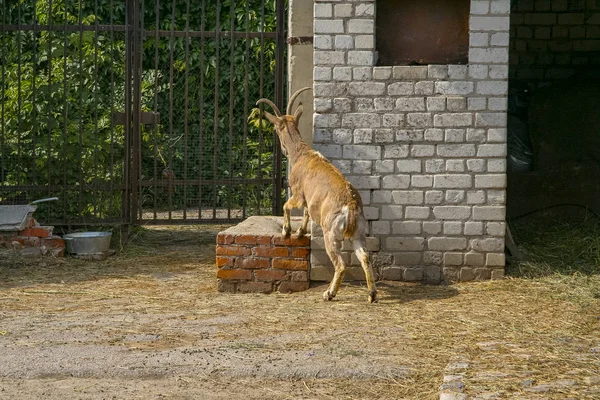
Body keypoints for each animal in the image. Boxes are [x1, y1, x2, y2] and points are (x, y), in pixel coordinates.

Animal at [255, 88, 378, 304]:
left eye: (276, 127)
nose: (282, 147)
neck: (301, 155)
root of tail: (351, 206)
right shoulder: (308, 200)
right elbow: (306, 212)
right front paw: (300, 232)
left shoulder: (298, 193)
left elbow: (288, 206)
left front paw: (287, 231)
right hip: (359, 233)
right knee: (364, 256)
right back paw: (371, 295)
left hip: (331, 233)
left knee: (340, 264)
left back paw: (329, 293)